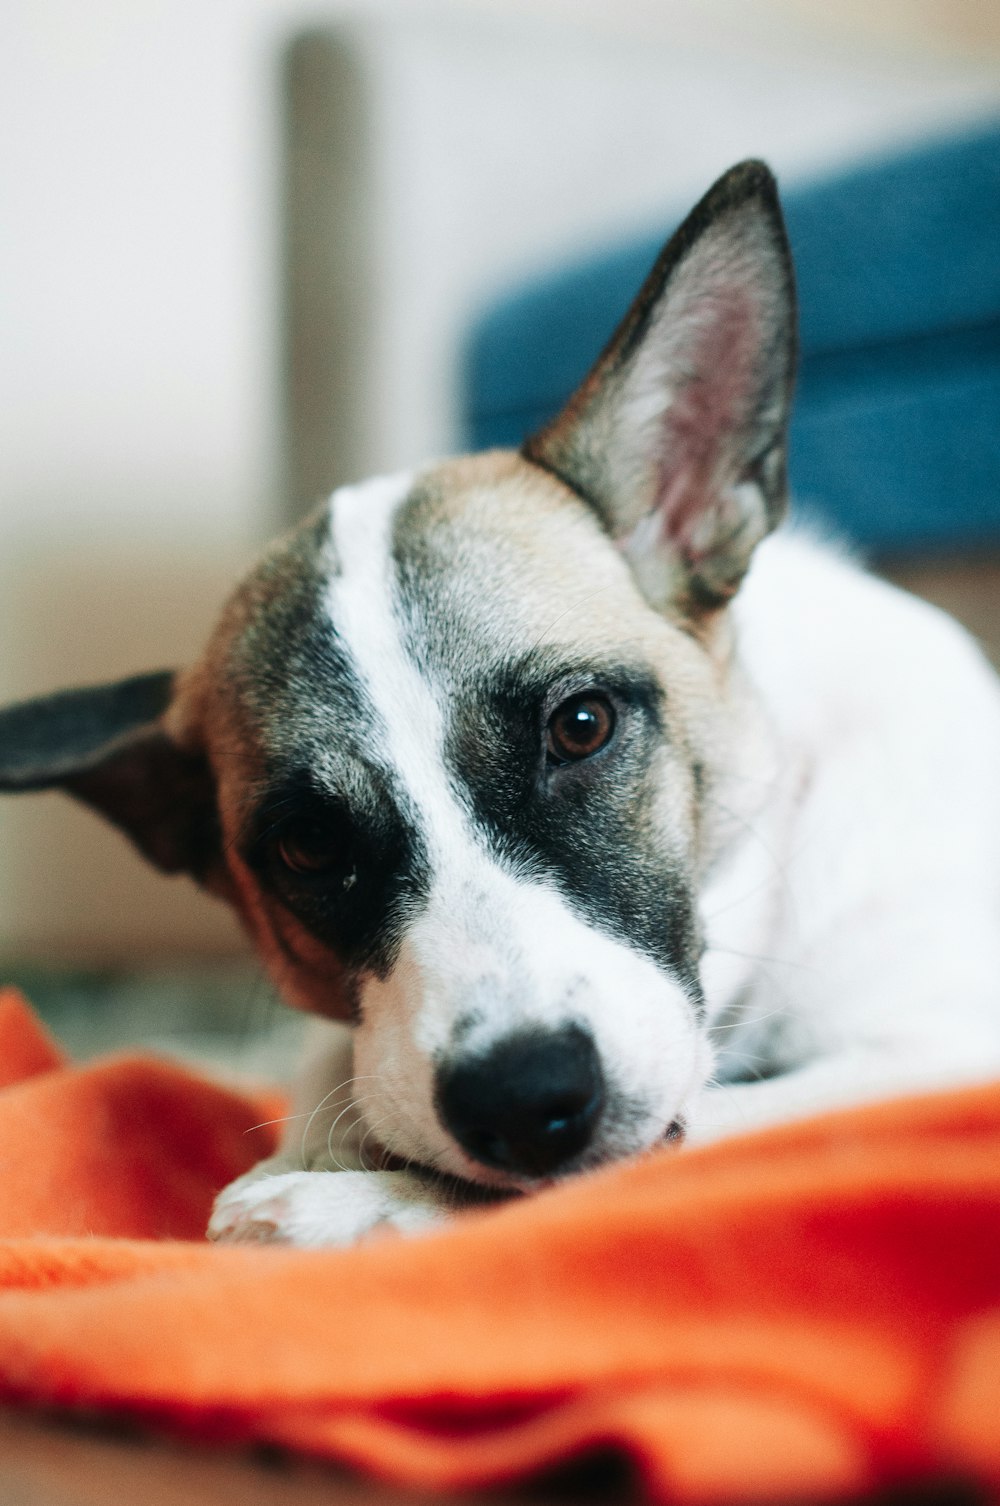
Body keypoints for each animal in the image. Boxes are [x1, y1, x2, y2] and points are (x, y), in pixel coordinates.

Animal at [5, 161, 1000, 1246]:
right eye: (306, 845)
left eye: (582, 725)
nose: (527, 1102)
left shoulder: (933, 1057)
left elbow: (676, 1138)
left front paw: (352, 1201)